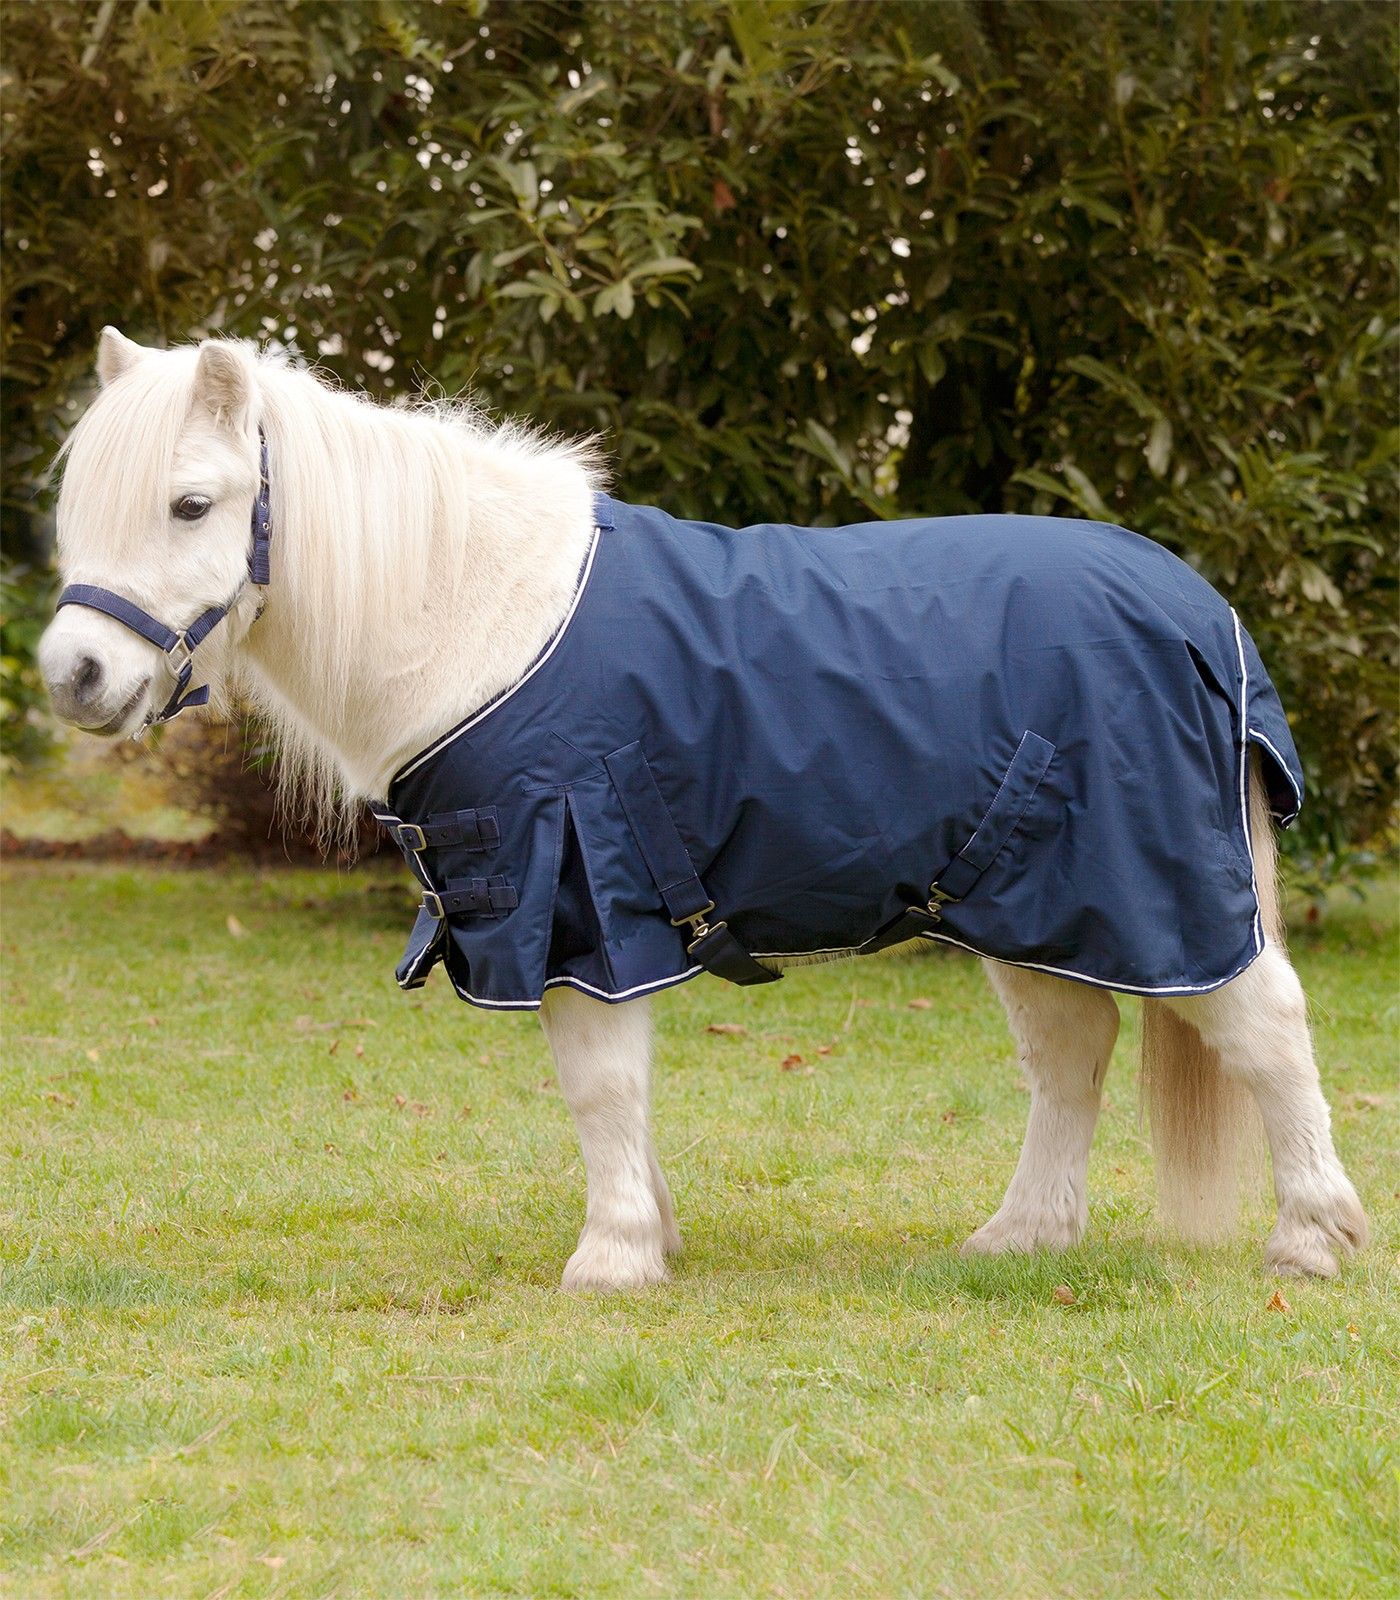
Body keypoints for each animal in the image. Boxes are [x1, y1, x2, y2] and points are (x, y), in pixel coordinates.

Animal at [36, 329, 1368, 1291]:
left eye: (192, 504)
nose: (72, 676)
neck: (480, 621)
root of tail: (1200, 610)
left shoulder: (580, 898)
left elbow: (599, 1084)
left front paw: (613, 1256)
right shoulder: (582, 912)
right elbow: (611, 1087)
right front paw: (650, 1232)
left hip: (1157, 887)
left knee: (1262, 1026)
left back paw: (1310, 1237)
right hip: (1024, 900)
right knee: (1069, 1050)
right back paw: (1020, 1237)